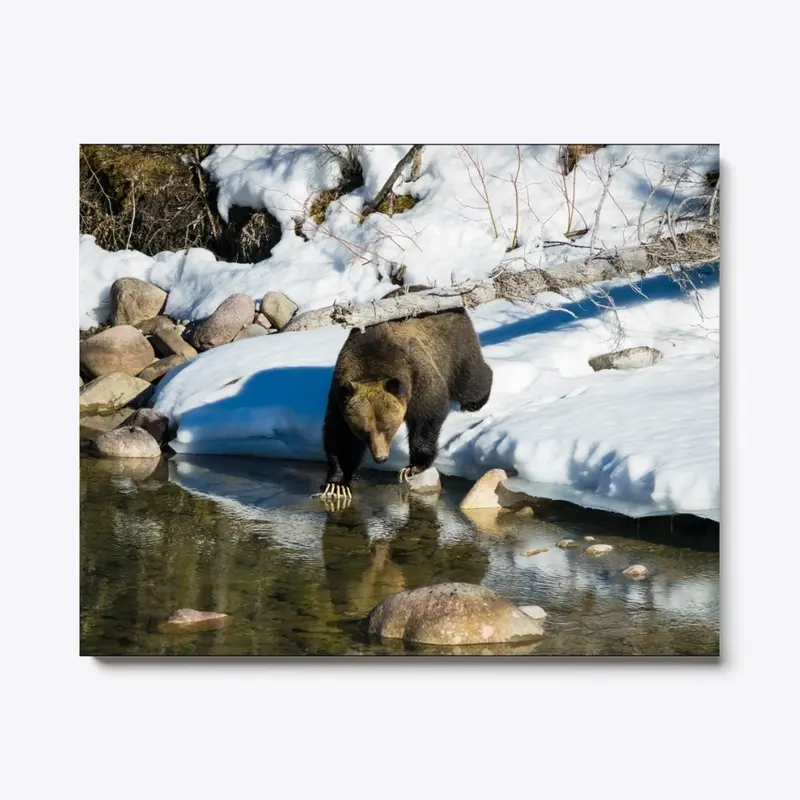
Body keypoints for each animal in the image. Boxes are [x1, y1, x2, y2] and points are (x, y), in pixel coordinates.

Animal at [318, 300, 494, 500]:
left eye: (388, 428)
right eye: (363, 431)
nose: (381, 458)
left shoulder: (417, 376)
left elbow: (427, 416)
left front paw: (412, 467)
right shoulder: (339, 398)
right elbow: (340, 438)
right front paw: (337, 484)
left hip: (454, 346)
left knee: (470, 378)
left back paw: (474, 402)